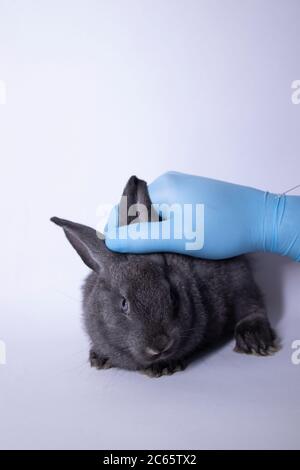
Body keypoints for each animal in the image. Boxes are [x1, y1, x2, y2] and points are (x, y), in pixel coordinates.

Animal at [51, 174, 276, 376]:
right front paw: (99, 357)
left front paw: (164, 367)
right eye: (124, 303)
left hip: (240, 282)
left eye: (172, 296)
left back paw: (254, 339)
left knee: (252, 306)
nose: (159, 346)